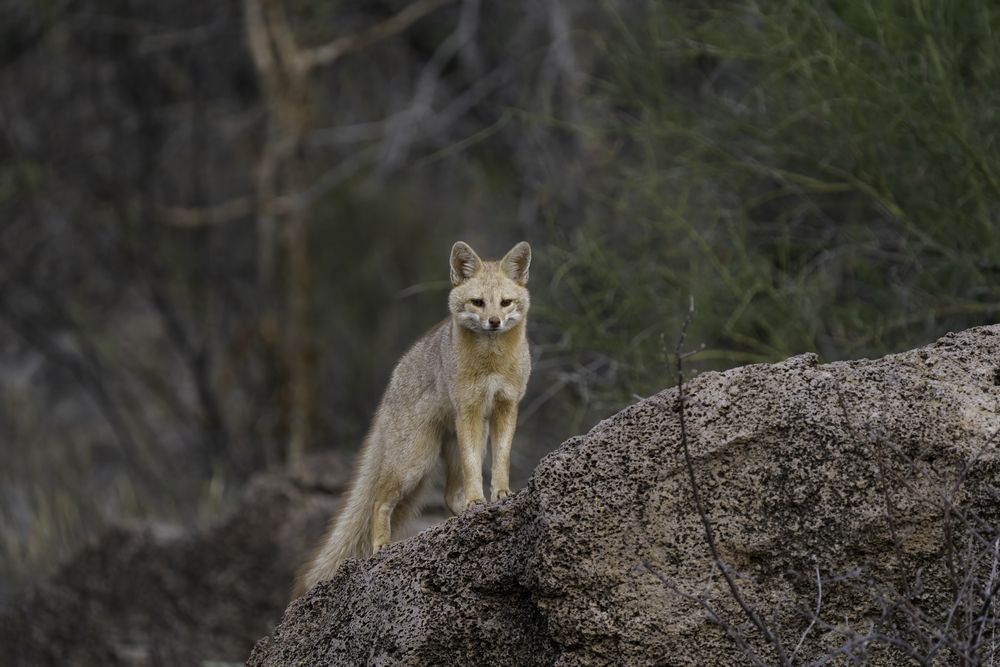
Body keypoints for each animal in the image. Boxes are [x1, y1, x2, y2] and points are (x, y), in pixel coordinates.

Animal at [293, 240, 532, 597]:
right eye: (478, 302)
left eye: (506, 303)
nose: (494, 322)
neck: (491, 363)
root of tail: (390, 385)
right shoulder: (470, 410)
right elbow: (476, 469)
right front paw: (479, 500)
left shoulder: (506, 406)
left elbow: (500, 459)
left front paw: (501, 495)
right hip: (414, 462)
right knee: (379, 500)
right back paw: (381, 547)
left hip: (446, 451)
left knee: (449, 495)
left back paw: (460, 517)